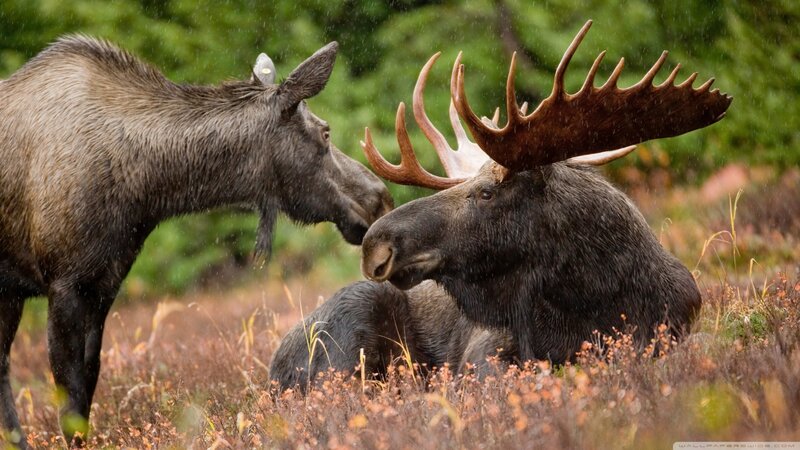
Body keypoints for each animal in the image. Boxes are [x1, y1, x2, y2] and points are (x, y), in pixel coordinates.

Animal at [0, 37, 393, 447]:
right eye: (325, 132)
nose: (379, 198)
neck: (145, 190)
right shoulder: (64, 283)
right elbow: (70, 397)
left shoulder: (103, 283)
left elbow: (88, 383)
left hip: (9, 293)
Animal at [269, 20, 732, 392]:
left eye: (487, 192)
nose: (375, 244)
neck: (594, 298)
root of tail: (272, 371)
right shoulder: (486, 351)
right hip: (352, 324)